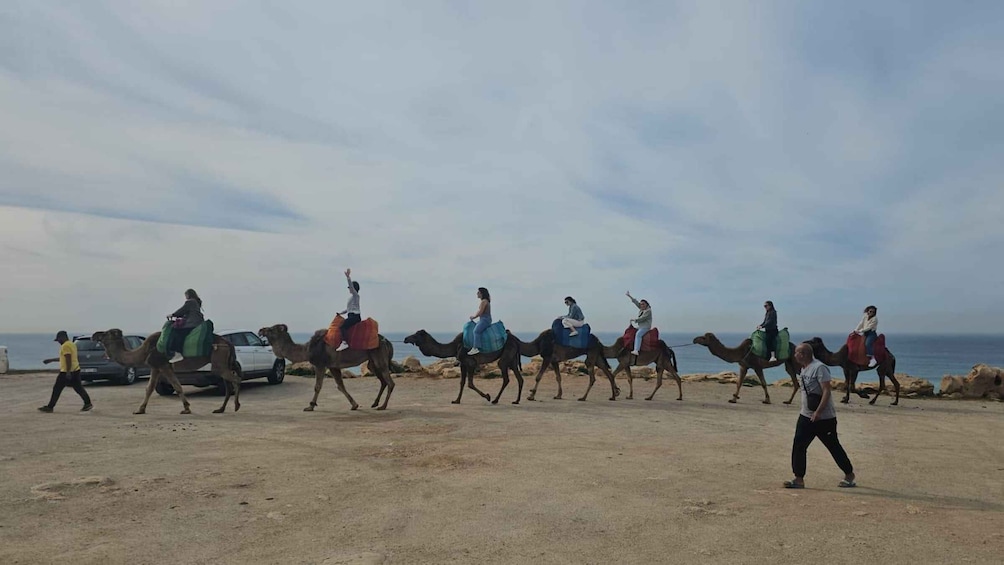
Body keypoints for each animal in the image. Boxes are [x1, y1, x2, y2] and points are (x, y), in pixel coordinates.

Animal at [92, 327, 244, 415]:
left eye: (107, 333)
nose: (94, 335)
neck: (144, 351)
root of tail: (228, 343)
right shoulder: (157, 367)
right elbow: (150, 388)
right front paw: (140, 409)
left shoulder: (162, 365)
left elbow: (176, 386)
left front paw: (186, 408)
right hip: (223, 363)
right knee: (228, 384)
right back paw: (220, 409)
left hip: (219, 362)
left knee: (236, 379)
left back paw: (236, 406)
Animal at [259, 327, 395, 411]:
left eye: (271, 329)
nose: (261, 330)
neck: (307, 350)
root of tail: (387, 341)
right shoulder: (333, 366)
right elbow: (341, 386)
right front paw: (354, 405)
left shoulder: (320, 364)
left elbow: (318, 386)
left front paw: (310, 406)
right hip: (372, 361)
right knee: (382, 380)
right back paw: (375, 403)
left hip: (379, 356)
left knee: (390, 382)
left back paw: (383, 406)